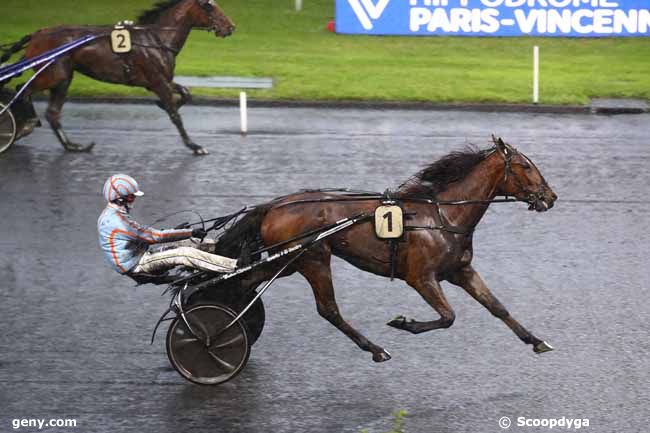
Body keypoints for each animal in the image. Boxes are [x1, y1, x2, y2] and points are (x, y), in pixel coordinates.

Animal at [0, 0, 233, 155]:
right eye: (209, 6)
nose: (231, 27)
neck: (156, 39)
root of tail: (37, 34)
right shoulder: (157, 81)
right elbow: (175, 115)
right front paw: (194, 145)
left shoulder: (158, 80)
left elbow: (186, 93)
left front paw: (165, 104)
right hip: (53, 74)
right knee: (23, 91)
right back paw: (23, 125)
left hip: (63, 78)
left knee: (52, 113)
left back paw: (73, 146)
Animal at [214, 138, 556, 362]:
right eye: (525, 166)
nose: (550, 197)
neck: (443, 215)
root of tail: (274, 205)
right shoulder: (421, 277)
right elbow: (448, 317)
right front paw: (403, 323)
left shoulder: (461, 270)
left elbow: (497, 306)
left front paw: (536, 341)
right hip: (312, 258)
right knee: (328, 309)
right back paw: (375, 349)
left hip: (287, 262)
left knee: (245, 281)